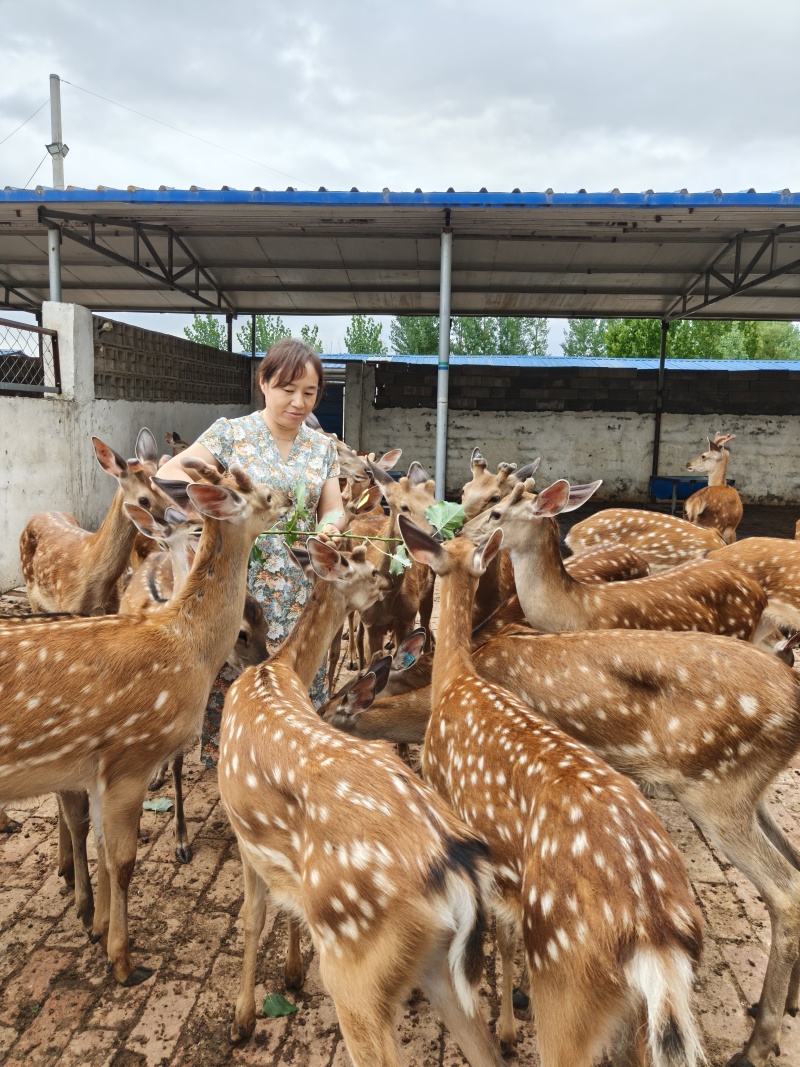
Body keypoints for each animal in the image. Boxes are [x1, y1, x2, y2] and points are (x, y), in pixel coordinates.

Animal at [0, 459, 291, 986]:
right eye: (260, 493)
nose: (291, 497)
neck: (183, 644)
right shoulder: (130, 755)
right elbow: (124, 861)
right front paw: (123, 961)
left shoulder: (95, 768)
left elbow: (99, 843)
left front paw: (95, 926)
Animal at [218, 538, 503, 1067]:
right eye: (367, 567)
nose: (393, 582)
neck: (274, 671)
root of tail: (457, 872)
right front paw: (289, 973)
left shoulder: (243, 833)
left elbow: (252, 919)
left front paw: (242, 1020)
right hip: (440, 968)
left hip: (355, 970)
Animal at [398, 515, 705, 1067]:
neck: (455, 680)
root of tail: (654, 937)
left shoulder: (458, 815)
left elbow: (502, 935)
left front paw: (503, 1030)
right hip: (645, 1012)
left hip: (565, 973)